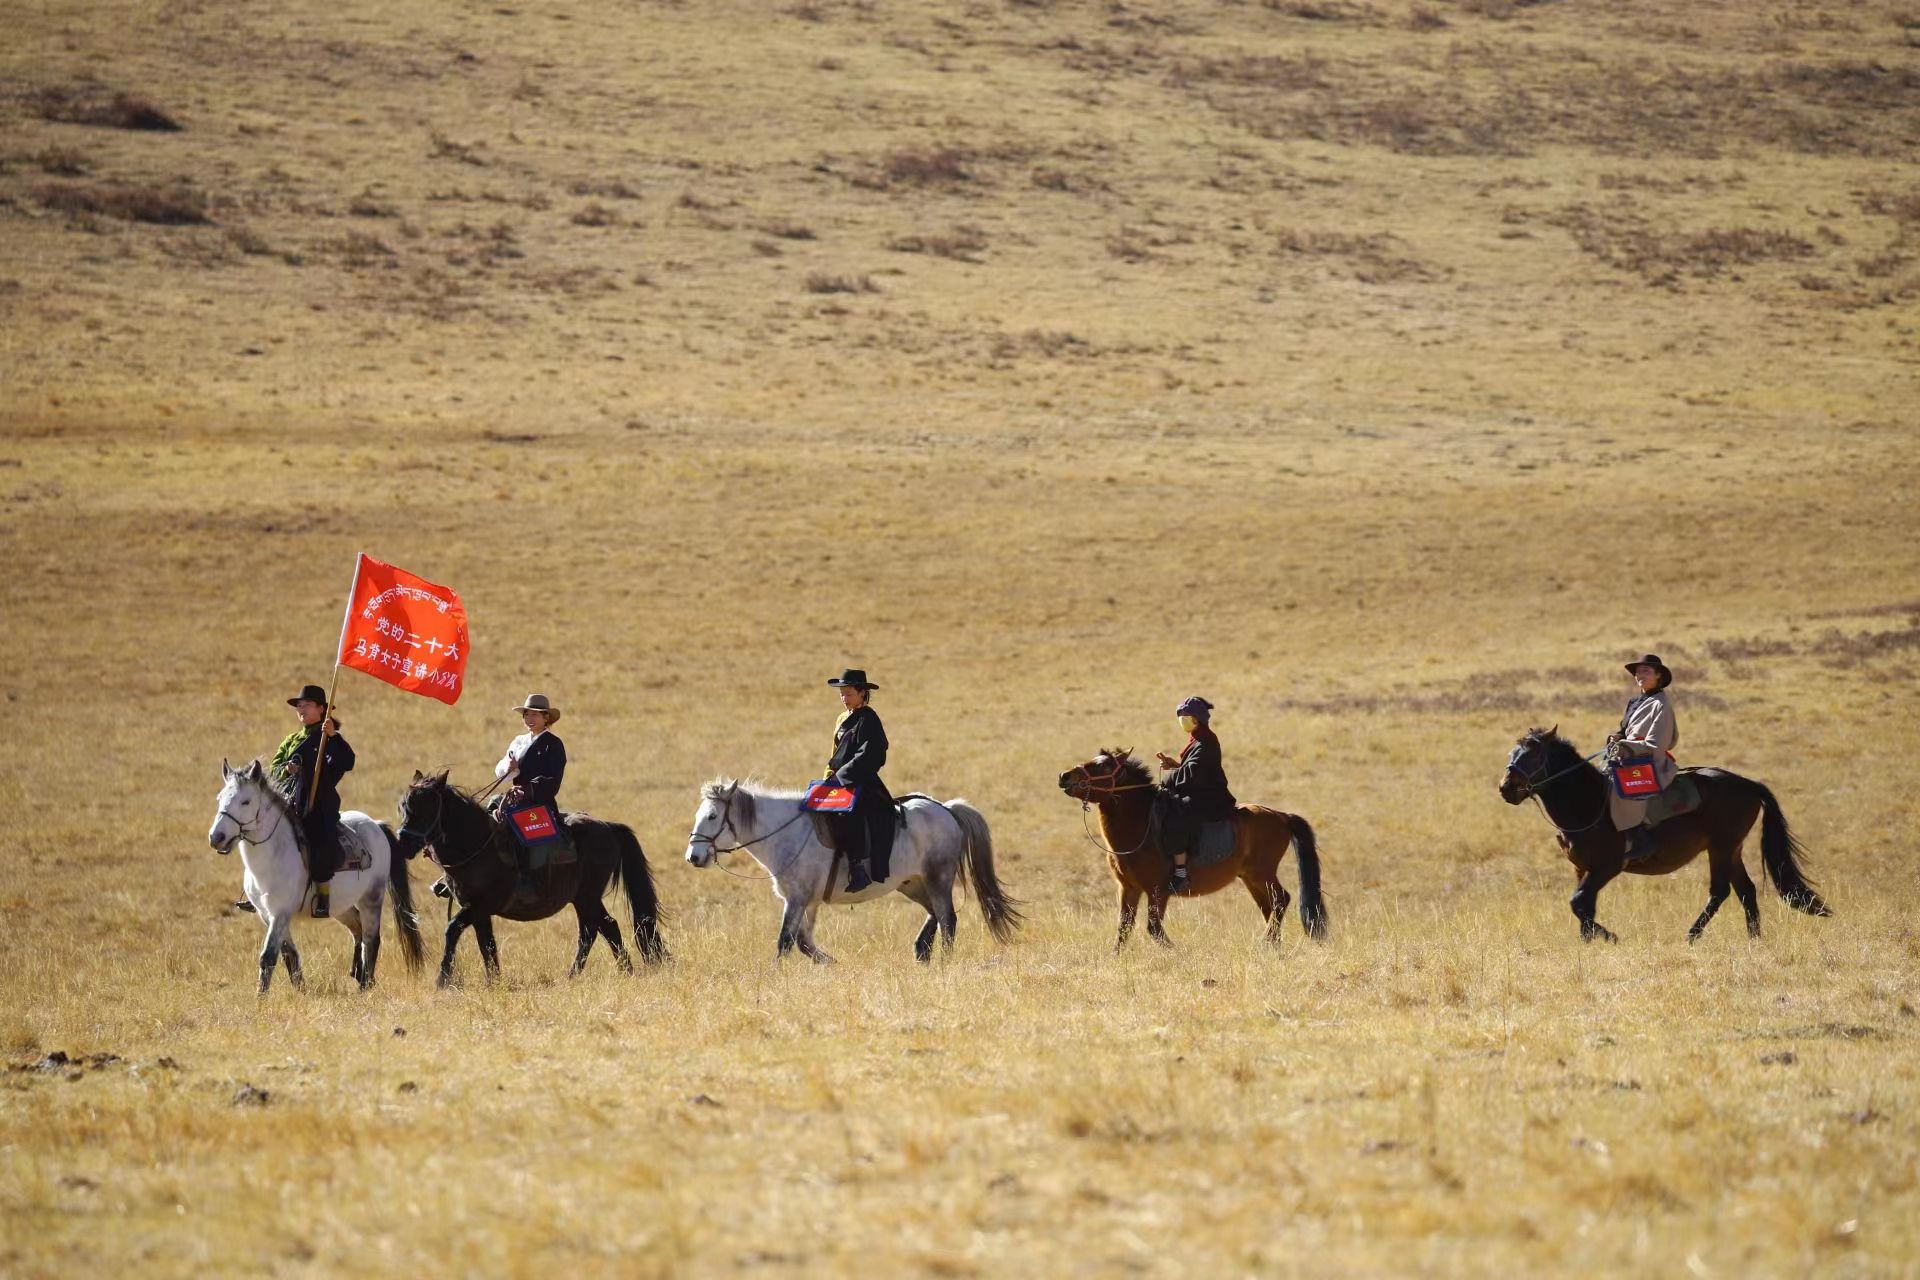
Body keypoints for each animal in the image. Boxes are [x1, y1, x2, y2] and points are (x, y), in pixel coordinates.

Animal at [206, 759, 424, 990]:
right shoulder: (266, 914)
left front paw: (261, 996)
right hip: (340, 906)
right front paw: (300, 989)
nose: (216, 837)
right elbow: (289, 953)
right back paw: (357, 973)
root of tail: (376, 825)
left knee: (371, 939)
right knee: (357, 929)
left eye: (245, 802)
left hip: (371, 899)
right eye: (220, 798)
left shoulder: (280, 913)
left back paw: (366, 984)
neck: (270, 860)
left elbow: (268, 956)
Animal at [391, 767, 668, 990]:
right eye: (403, 807)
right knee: (606, 926)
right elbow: (486, 944)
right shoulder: (480, 912)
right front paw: (494, 982)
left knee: (591, 931)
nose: (403, 843)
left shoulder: (478, 906)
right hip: (584, 897)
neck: (477, 845)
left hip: (586, 896)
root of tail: (608, 826)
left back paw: (578, 975)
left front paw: (443, 979)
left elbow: (453, 930)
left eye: (425, 809)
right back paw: (622, 970)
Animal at [683, 782, 1029, 959]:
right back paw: (921, 951)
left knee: (948, 919)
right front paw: (832, 964)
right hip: (912, 883)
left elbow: (784, 942)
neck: (786, 833)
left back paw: (943, 960)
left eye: (712, 816)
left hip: (938, 878)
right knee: (935, 915)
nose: (694, 857)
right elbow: (803, 942)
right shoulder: (808, 902)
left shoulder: (796, 899)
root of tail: (946, 809)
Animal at [1059, 752, 1328, 951]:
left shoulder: (1157, 890)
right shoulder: (1128, 888)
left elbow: (1153, 928)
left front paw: (1177, 952)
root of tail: (1281, 816)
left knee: (1281, 899)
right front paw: (1116, 957)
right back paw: (1273, 946)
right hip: (1252, 877)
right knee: (1270, 906)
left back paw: (1266, 943)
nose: (1064, 776)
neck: (1141, 825)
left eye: (1103, 766)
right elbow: (1124, 928)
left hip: (1262, 872)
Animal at [1497, 725, 1827, 948]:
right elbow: (1584, 905)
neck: (1589, 802)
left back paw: (1692, 935)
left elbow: (1578, 902)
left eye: (1533, 754)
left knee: (1720, 891)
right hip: (1731, 849)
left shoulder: (1606, 867)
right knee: (1746, 890)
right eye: (1512, 753)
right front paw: (1588, 942)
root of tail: (1750, 785)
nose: (1506, 788)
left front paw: (1610, 936)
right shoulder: (1582, 868)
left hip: (1720, 848)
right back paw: (1754, 938)